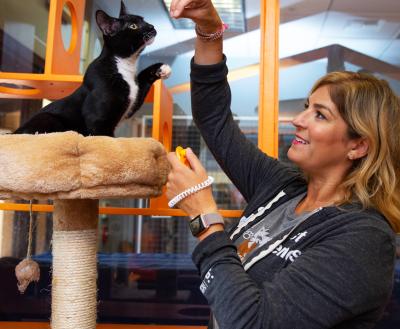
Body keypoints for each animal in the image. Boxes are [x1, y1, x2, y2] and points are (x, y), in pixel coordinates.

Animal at [13, 0, 170, 136]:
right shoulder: (97, 120)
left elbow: (142, 80)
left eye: (144, 20)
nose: (152, 26)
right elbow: (106, 138)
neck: (124, 64)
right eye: (133, 26)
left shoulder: (133, 97)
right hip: (49, 118)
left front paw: (161, 68)